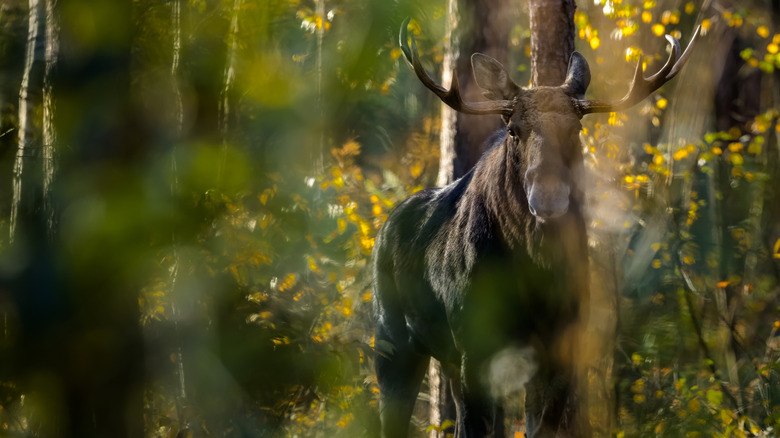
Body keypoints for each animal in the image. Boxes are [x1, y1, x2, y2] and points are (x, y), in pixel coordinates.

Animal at [373, 18, 700, 438]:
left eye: (577, 129)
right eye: (513, 129)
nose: (548, 197)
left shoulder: (561, 344)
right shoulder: (474, 342)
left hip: (444, 354)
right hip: (392, 338)